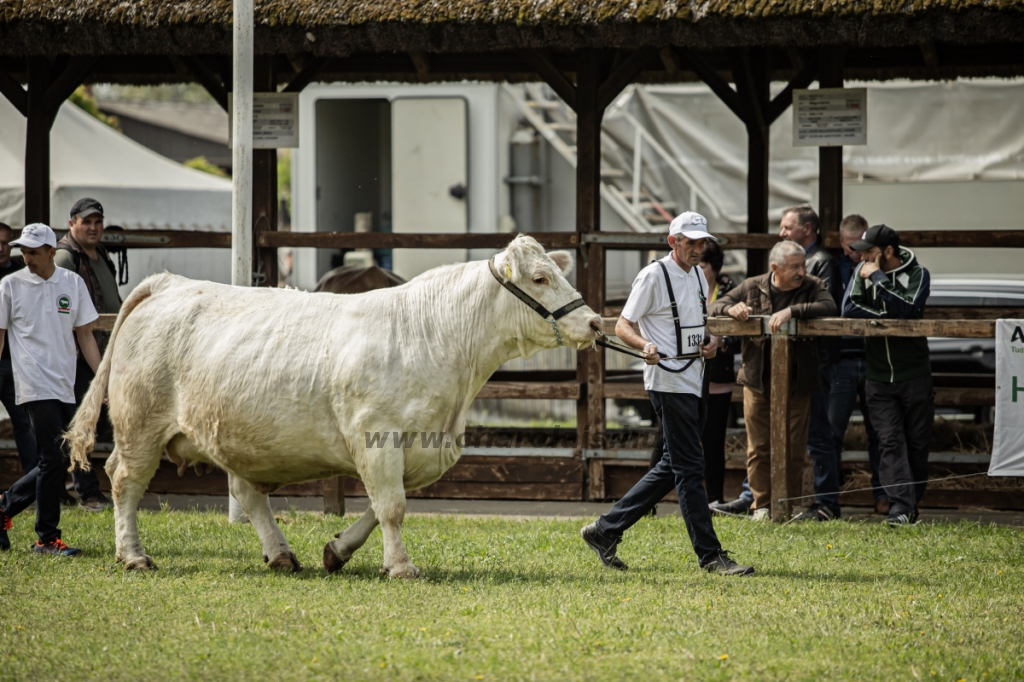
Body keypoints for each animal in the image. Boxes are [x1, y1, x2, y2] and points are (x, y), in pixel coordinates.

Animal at [68, 233, 598, 573]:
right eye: (539, 279)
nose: (594, 322)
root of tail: (169, 282)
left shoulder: (419, 447)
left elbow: (384, 505)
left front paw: (337, 550)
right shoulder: (375, 436)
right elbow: (392, 507)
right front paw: (400, 566)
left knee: (247, 495)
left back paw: (281, 555)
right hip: (141, 425)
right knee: (124, 482)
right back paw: (133, 555)